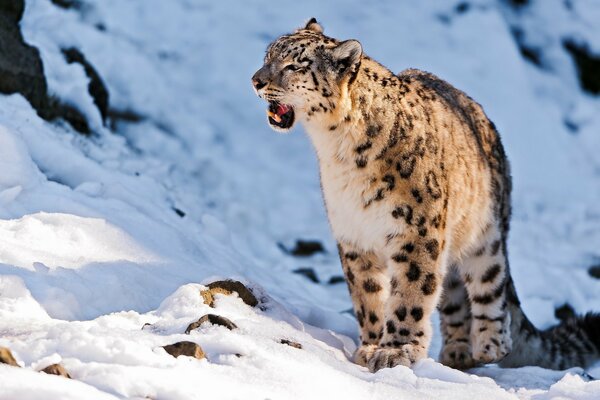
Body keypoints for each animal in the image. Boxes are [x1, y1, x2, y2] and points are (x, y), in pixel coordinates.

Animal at [251, 18, 596, 374]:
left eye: (294, 65)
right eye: (268, 55)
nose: (256, 80)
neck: (339, 153)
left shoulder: (415, 231)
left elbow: (410, 292)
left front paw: (395, 351)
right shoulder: (353, 235)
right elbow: (367, 295)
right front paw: (371, 345)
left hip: (484, 234)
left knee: (491, 283)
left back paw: (489, 344)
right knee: (454, 293)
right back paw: (457, 353)